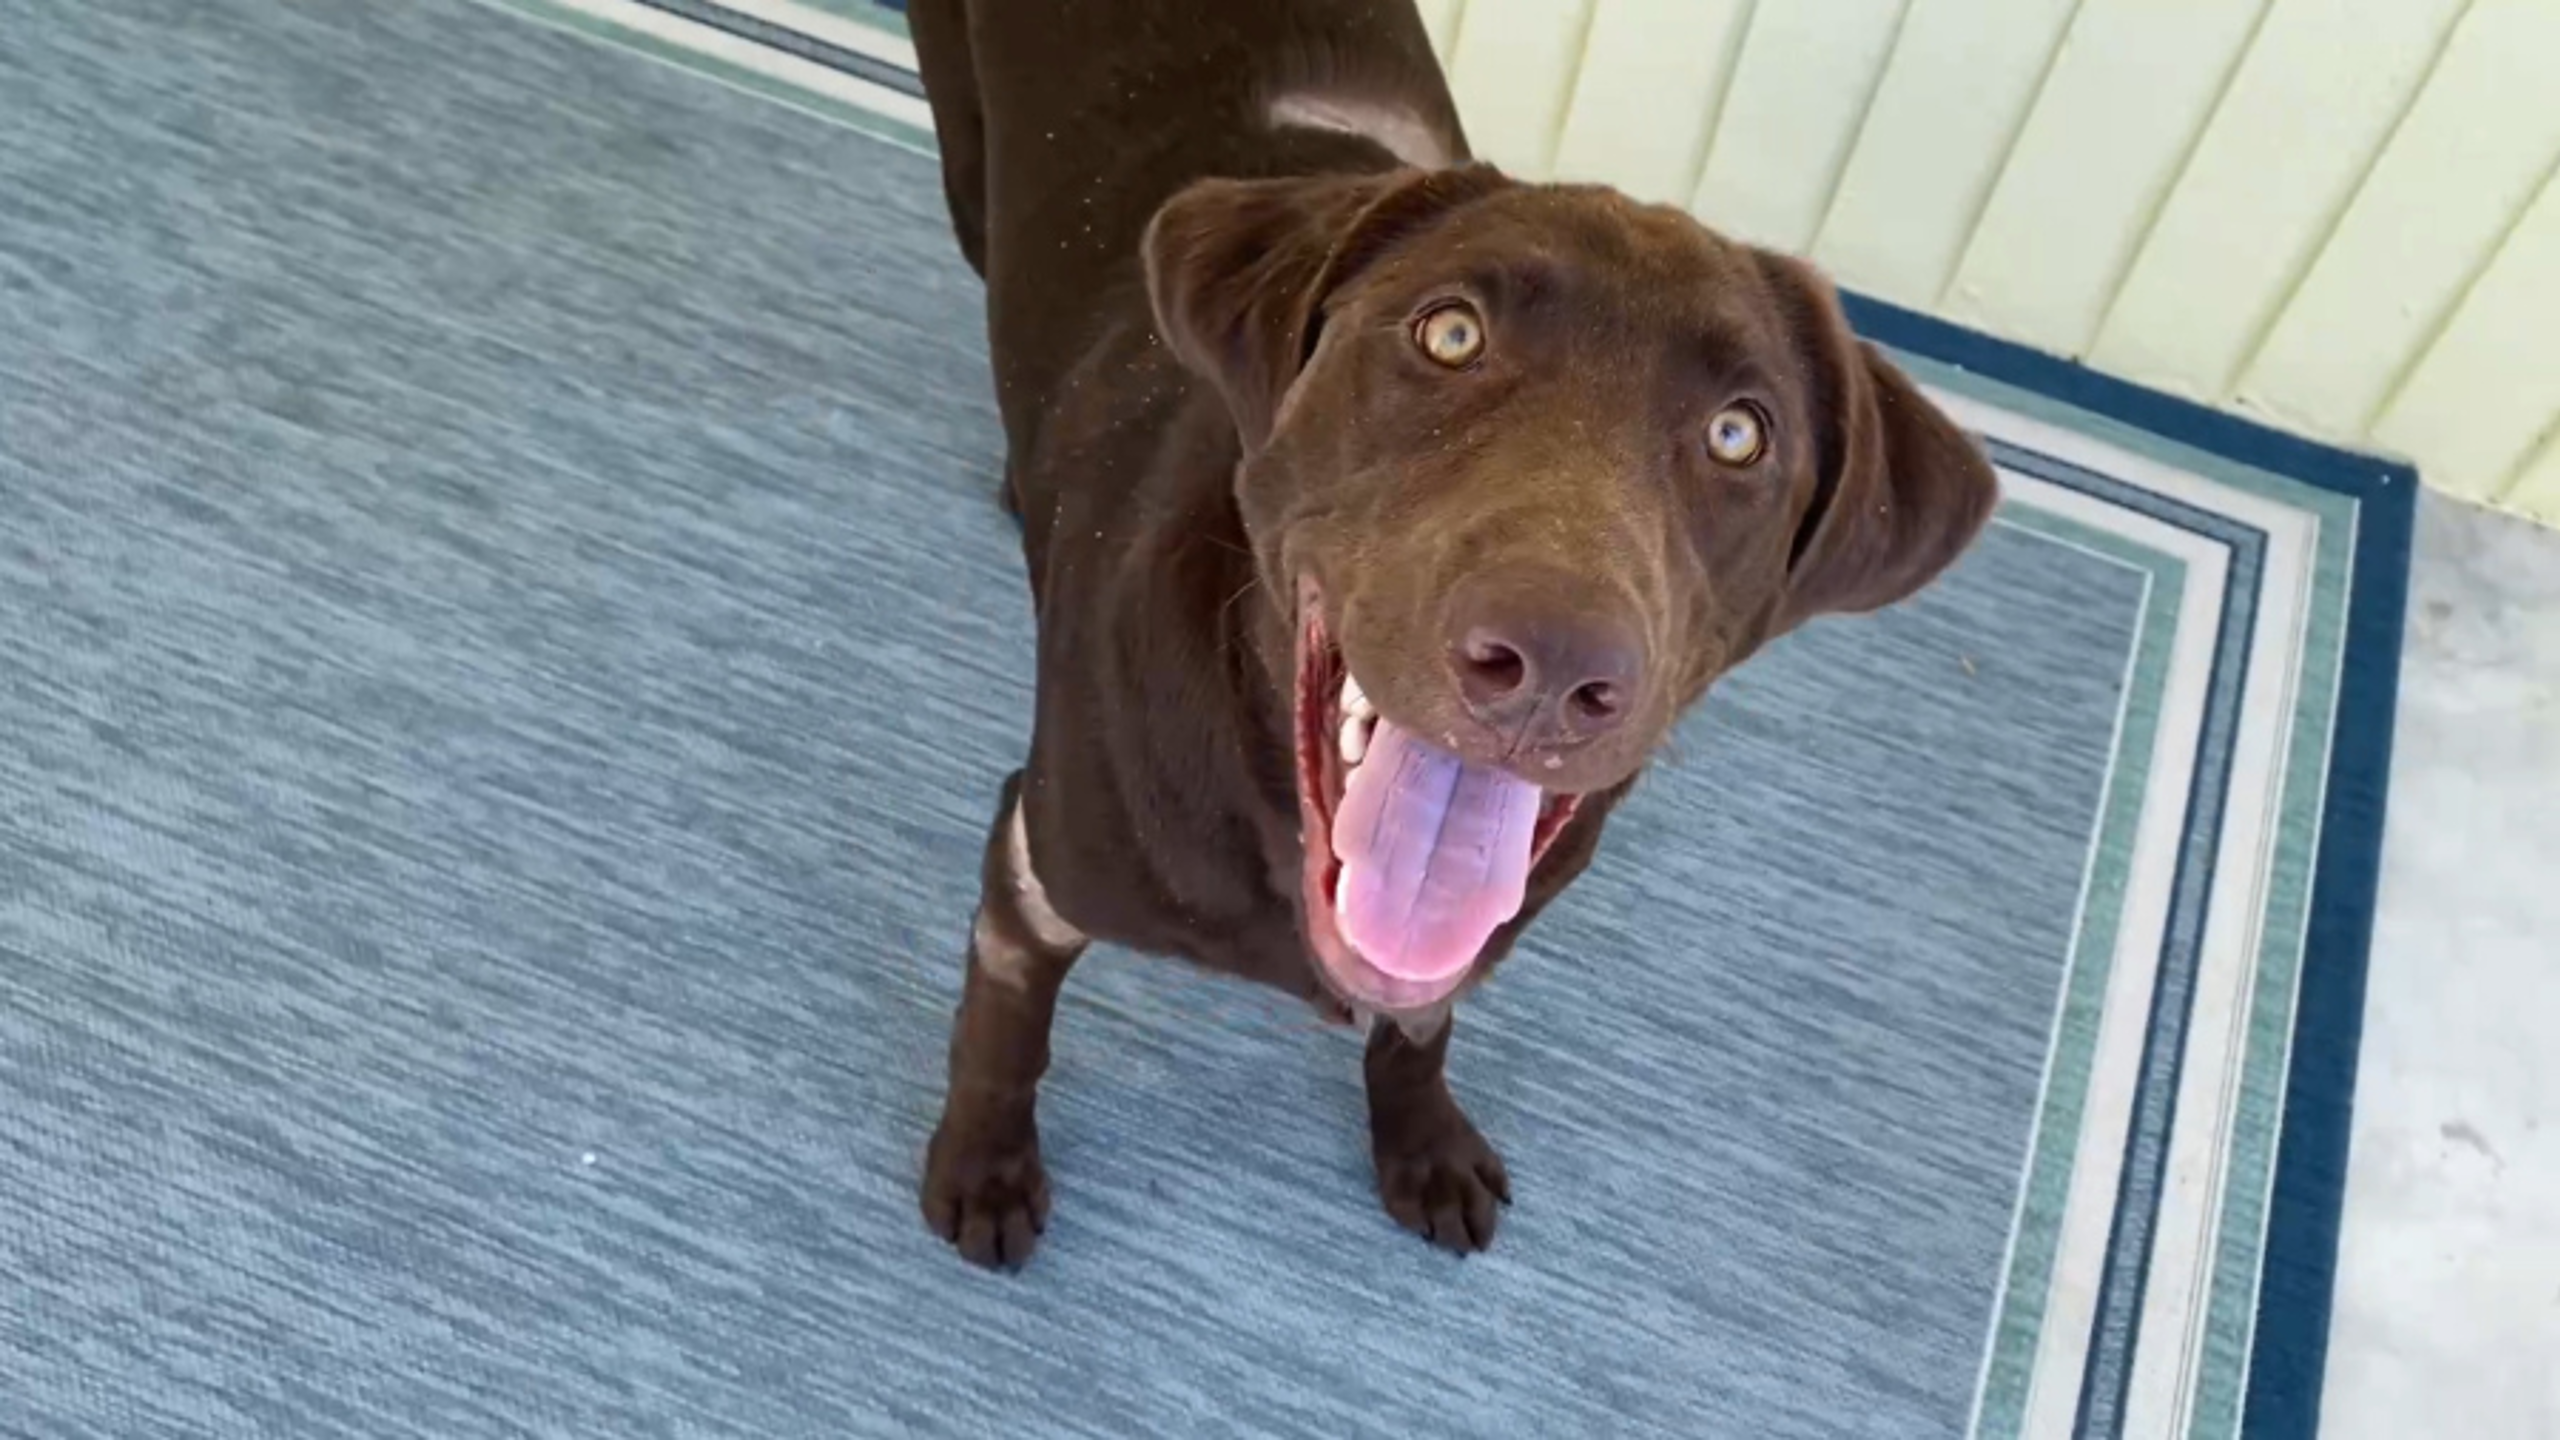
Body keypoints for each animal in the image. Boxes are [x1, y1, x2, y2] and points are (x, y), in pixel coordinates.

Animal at [901, 0, 1996, 1260]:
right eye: (1451, 335)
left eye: (1738, 435)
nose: (1552, 666)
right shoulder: (1032, 870)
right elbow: (1004, 1025)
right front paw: (983, 1167)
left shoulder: (1454, 955)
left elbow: (1418, 1032)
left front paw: (1421, 1143)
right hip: (969, 165)